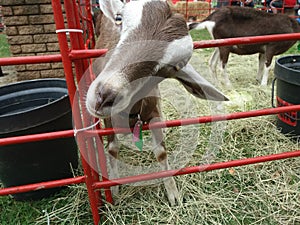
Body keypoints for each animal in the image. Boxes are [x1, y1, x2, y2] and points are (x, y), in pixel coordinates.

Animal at [85, 0, 227, 206]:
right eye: (119, 19)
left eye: (173, 67)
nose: (104, 96)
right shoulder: (108, 119)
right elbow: (112, 149)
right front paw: (114, 189)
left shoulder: (153, 113)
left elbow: (161, 151)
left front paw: (173, 194)